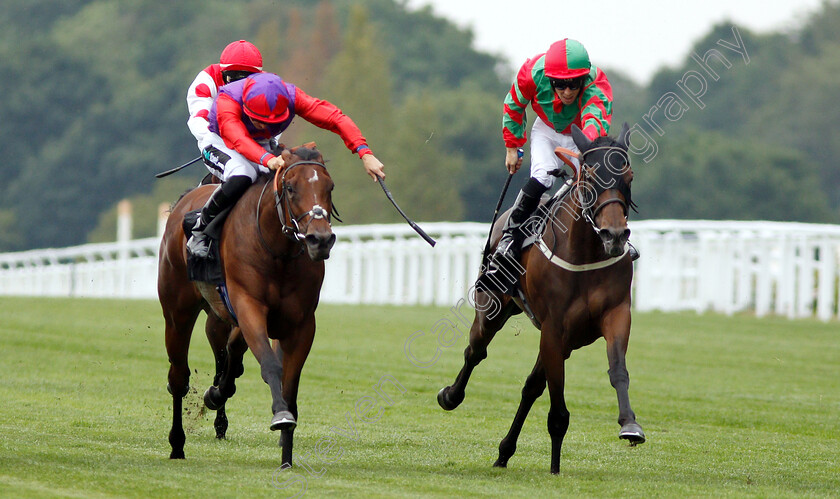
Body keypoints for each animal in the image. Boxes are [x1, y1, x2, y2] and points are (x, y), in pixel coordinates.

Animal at [159, 145, 336, 464]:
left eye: (329, 188)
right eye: (290, 188)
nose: (320, 239)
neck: (278, 252)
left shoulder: (302, 324)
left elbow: (289, 383)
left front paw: (286, 455)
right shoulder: (249, 307)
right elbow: (269, 364)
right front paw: (280, 417)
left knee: (228, 358)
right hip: (177, 312)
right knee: (178, 376)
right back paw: (177, 444)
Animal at [436, 124, 648, 472]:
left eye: (628, 176)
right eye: (590, 176)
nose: (614, 235)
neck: (585, 254)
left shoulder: (614, 315)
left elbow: (618, 369)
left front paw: (630, 425)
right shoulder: (553, 328)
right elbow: (558, 410)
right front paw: (554, 469)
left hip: (566, 340)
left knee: (531, 387)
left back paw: (505, 451)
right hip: (493, 307)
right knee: (475, 351)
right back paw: (451, 396)